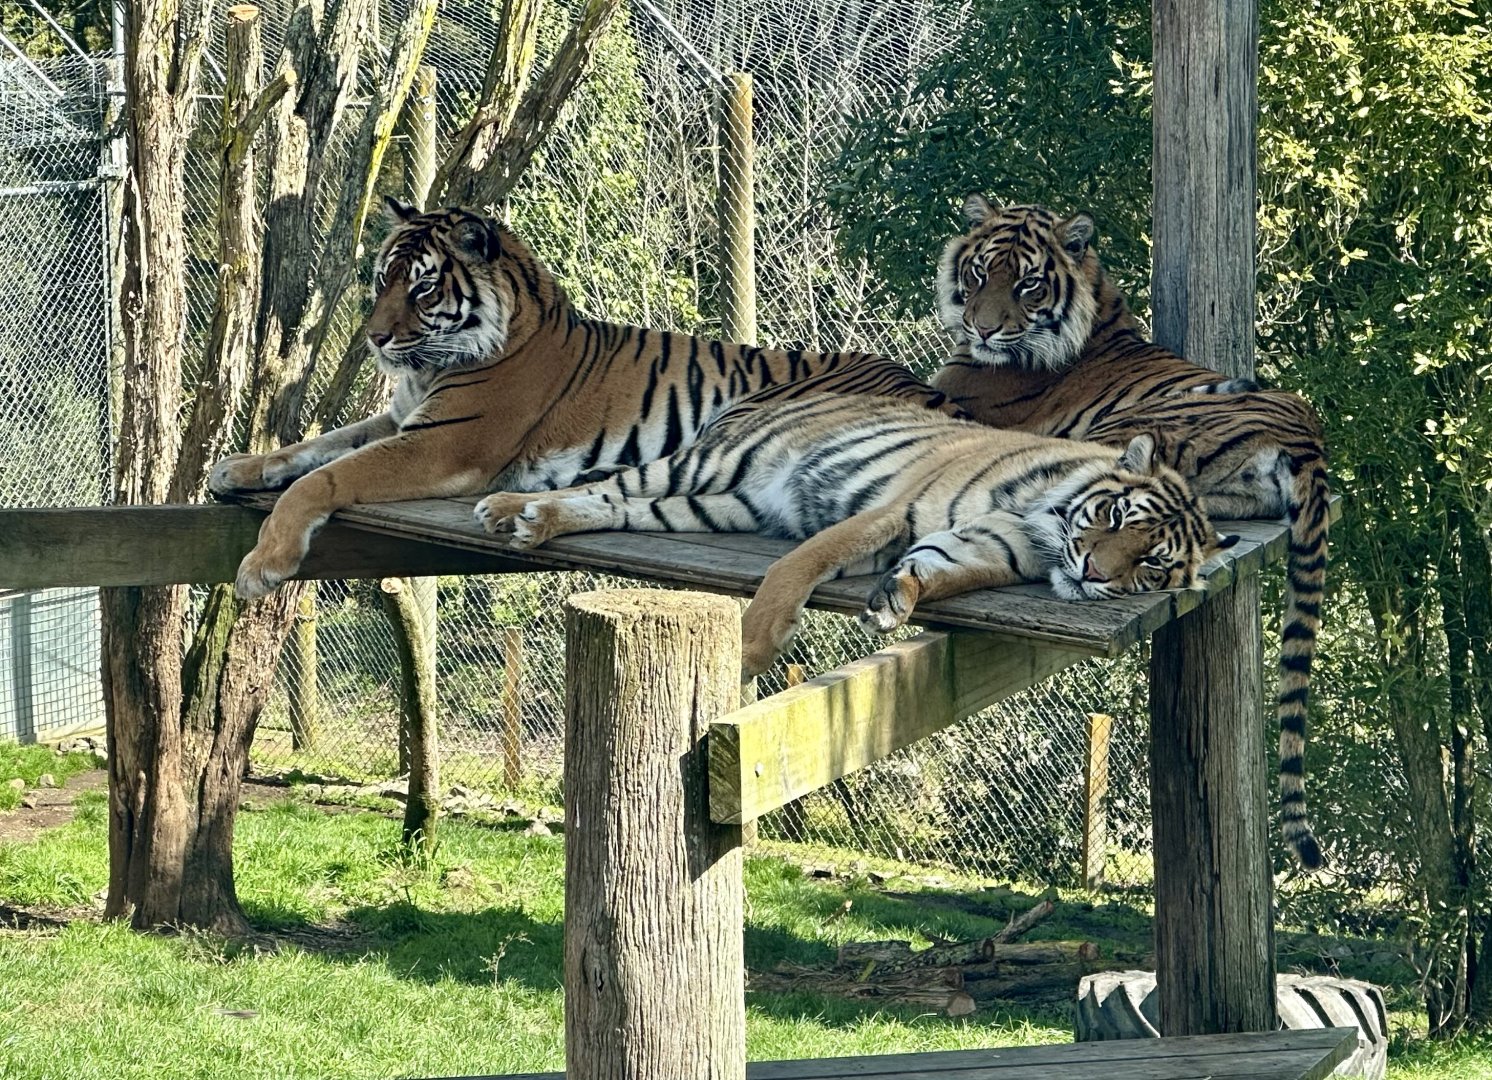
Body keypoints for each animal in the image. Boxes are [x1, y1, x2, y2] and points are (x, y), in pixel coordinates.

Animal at [208, 199, 960, 598]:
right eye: (380, 280)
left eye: (421, 287)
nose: (374, 338)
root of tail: (932, 394)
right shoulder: (400, 418)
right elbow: (313, 446)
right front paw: (236, 467)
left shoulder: (442, 441)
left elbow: (323, 477)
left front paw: (262, 566)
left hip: (749, 417)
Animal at [473, 393, 1237, 678]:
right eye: (1117, 521)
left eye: (1150, 566)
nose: (1097, 576)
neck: (1041, 527)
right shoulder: (892, 510)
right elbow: (798, 566)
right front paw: (752, 648)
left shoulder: (987, 545)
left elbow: (944, 566)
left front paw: (898, 595)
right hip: (705, 466)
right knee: (604, 485)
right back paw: (515, 510)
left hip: (708, 506)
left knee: (616, 504)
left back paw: (534, 519)